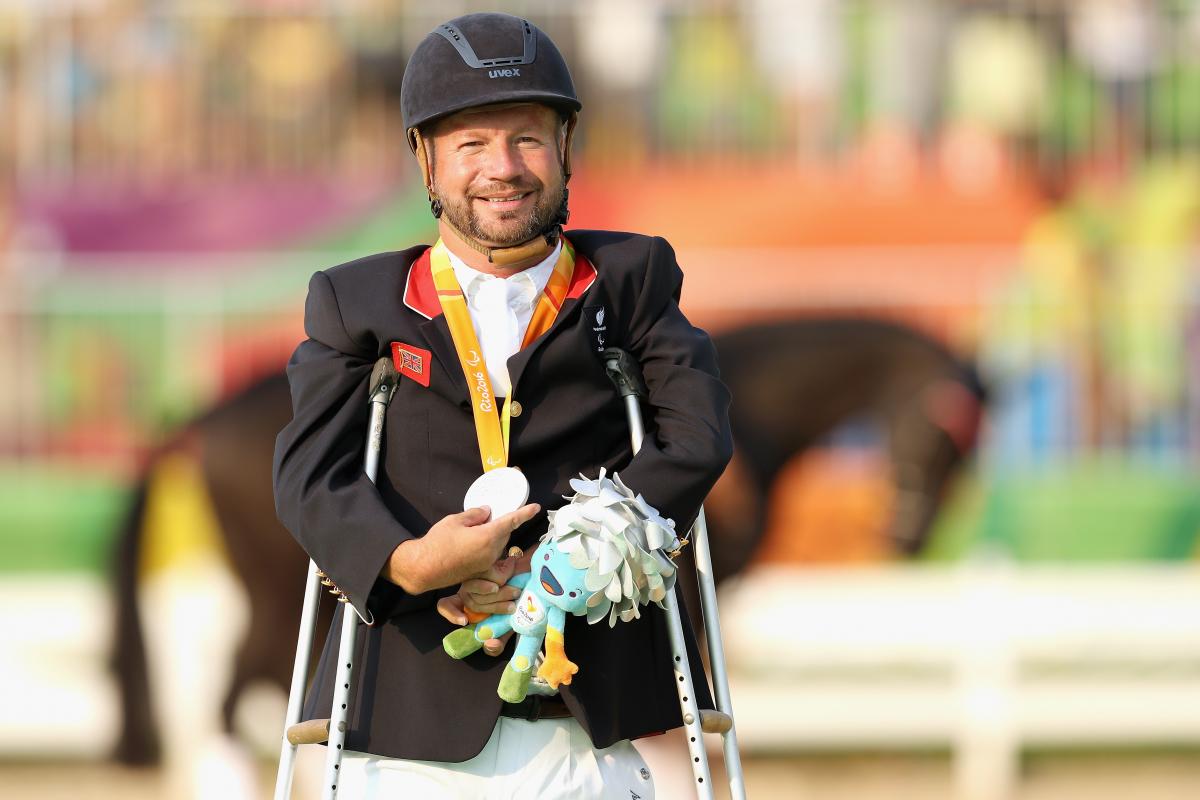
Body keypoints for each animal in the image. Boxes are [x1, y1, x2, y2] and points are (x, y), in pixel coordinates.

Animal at [112, 316, 984, 767]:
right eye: (939, 440)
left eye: (966, 459)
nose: (909, 537)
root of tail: (196, 419)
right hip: (285, 594)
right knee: (234, 703)